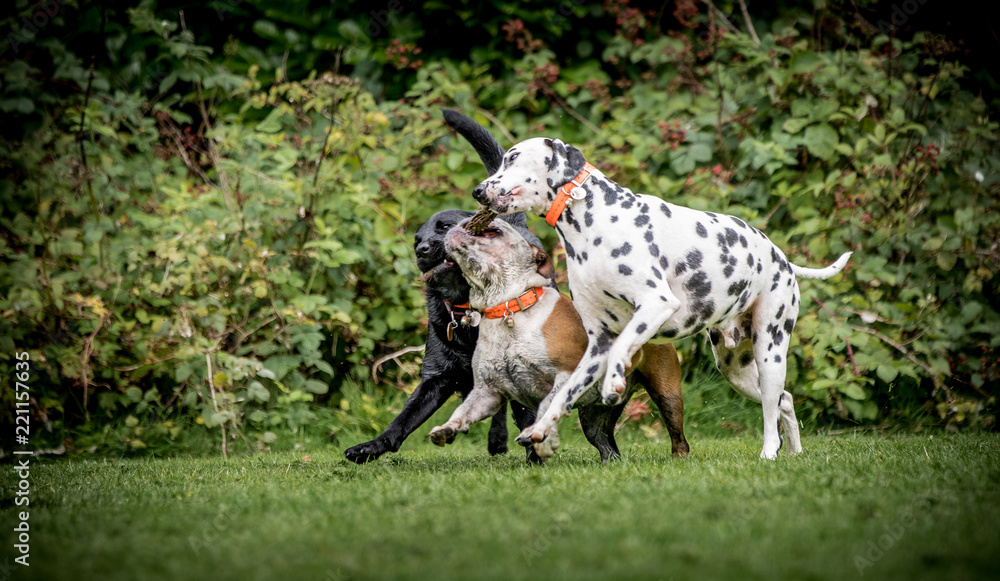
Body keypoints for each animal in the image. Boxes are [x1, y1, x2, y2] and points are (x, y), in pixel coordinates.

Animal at [348, 110, 544, 462]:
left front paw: (535, 454)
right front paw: (371, 446)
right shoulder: (437, 377)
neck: (468, 310)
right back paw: (496, 440)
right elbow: (402, 420)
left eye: (445, 227)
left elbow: (527, 413)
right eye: (417, 240)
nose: (422, 251)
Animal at [422, 219, 688, 462]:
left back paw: (679, 458)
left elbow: (547, 404)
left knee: (678, 437)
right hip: (595, 418)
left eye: (495, 230)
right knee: (607, 446)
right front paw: (447, 429)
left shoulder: (566, 374)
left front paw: (534, 434)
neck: (509, 308)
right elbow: (463, 411)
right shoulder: (487, 393)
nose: (456, 225)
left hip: (667, 394)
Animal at [472, 137, 848, 458]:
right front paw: (539, 430)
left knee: (772, 411)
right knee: (785, 400)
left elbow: (622, 350)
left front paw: (614, 383)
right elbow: (563, 394)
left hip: (770, 352)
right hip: (737, 371)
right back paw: (795, 452)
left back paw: (770, 452)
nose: (477, 190)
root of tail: (782, 258)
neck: (593, 224)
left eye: (513, 157)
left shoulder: (654, 306)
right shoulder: (597, 342)